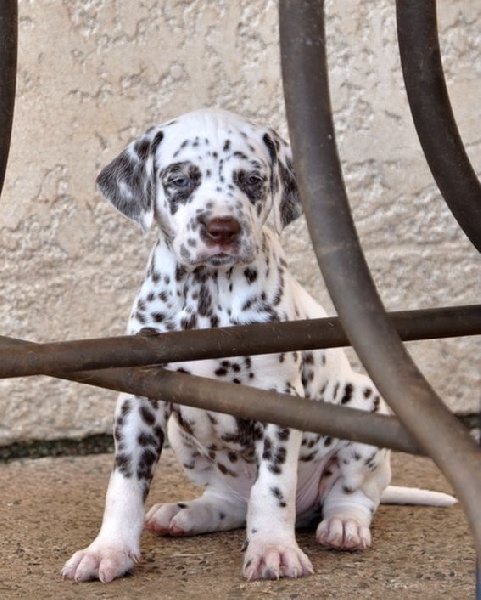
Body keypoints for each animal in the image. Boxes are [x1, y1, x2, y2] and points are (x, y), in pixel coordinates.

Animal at [62, 109, 455, 583]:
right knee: (231, 503)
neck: (207, 293)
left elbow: (272, 489)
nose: (222, 229)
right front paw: (108, 550)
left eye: (252, 180)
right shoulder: (141, 402)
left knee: (353, 495)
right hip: (183, 440)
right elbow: (124, 485)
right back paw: (186, 514)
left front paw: (273, 549)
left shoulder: (277, 401)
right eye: (180, 179)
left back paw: (343, 526)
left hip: (366, 410)